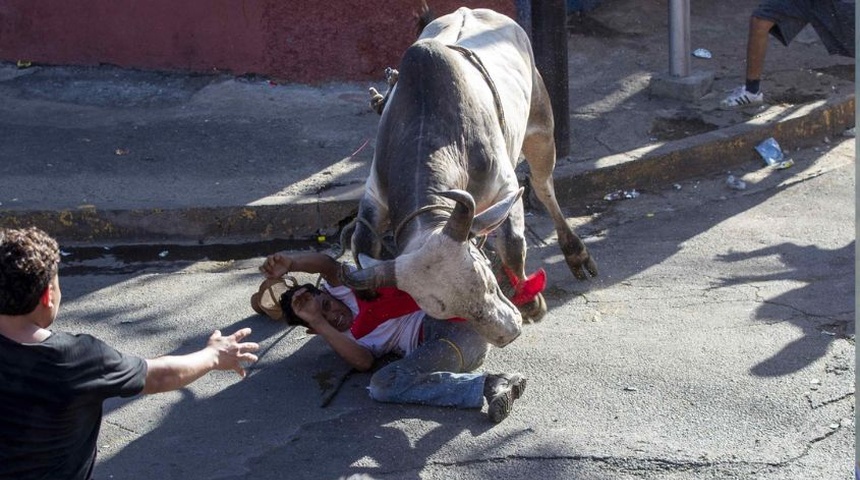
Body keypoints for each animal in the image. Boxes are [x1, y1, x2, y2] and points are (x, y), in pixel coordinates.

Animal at [340, 6, 596, 344]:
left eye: (486, 282)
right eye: (444, 311)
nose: (508, 335)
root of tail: (472, 9)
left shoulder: (506, 186)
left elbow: (513, 244)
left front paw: (530, 303)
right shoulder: (375, 193)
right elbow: (364, 241)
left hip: (541, 127)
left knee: (544, 188)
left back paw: (576, 254)